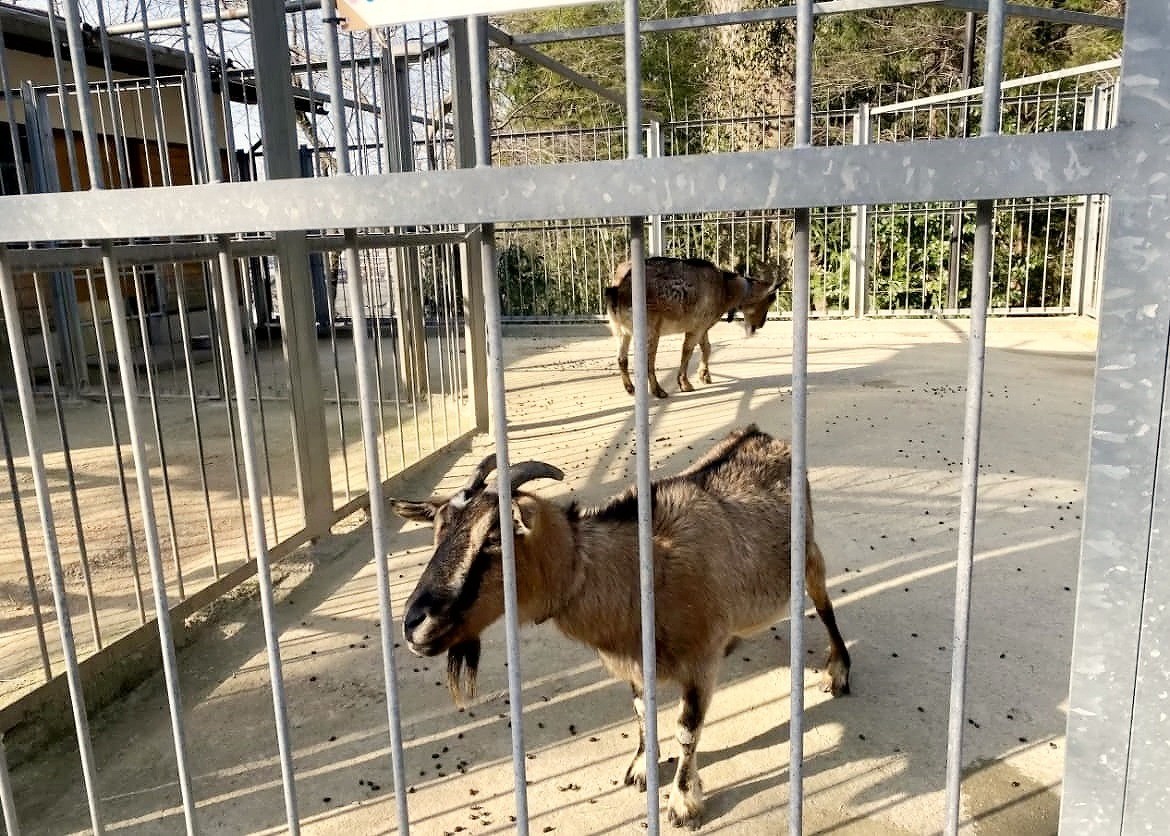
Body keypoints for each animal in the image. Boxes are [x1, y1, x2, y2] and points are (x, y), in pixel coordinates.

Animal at [393, 425, 851, 832]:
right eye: (438, 531)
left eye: (493, 538)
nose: (415, 625)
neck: (640, 570)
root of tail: (765, 436)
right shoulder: (636, 659)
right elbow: (642, 710)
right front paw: (642, 770)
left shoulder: (700, 661)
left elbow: (687, 729)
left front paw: (682, 803)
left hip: (809, 553)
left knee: (826, 605)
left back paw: (838, 671)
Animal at [603, 254, 776, 399]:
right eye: (768, 301)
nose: (760, 324)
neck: (725, 288)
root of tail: (617, 290)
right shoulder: (696, 328)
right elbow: (687, 351)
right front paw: (685, 384)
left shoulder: (702, 327)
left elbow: (707, 347)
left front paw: (705, 376)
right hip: (650, 331)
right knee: (647, 361)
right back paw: (658, 391)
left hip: (620, 331)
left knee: (622, 358)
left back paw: (630, 388)